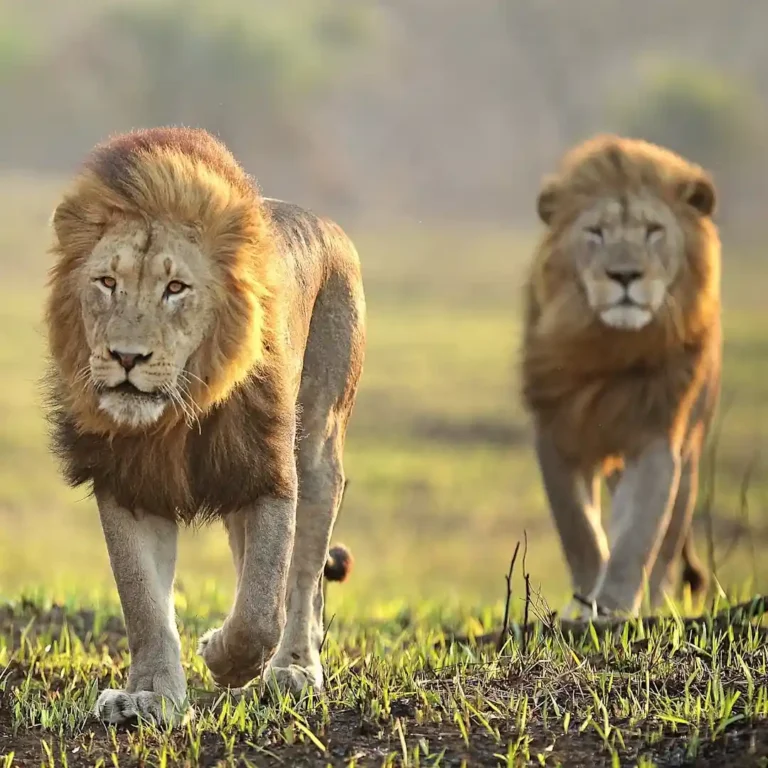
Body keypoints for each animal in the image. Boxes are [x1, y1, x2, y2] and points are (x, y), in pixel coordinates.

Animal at [43, 126, 366, 725]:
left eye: (175, 288)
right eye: (106, 282)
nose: (126, 356)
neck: (176, 414)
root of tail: (329, 225)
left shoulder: (269, 470)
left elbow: (262, 608)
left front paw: (222, 657)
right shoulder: (130, 481)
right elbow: (144, 602)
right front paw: (148, 697)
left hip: (318, 446)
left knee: (304, 577)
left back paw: (295, 669)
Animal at [520, 134, 721, 618]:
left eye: (653, 231)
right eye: (595, 232)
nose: (625, 275)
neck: (609, 346)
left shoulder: (656, 438)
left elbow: (639, 535)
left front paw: (613, 606)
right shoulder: (556, 432)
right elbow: (579, 530)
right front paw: (584, 604)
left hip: (691, 454)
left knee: (668, 541)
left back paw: (656, 604)